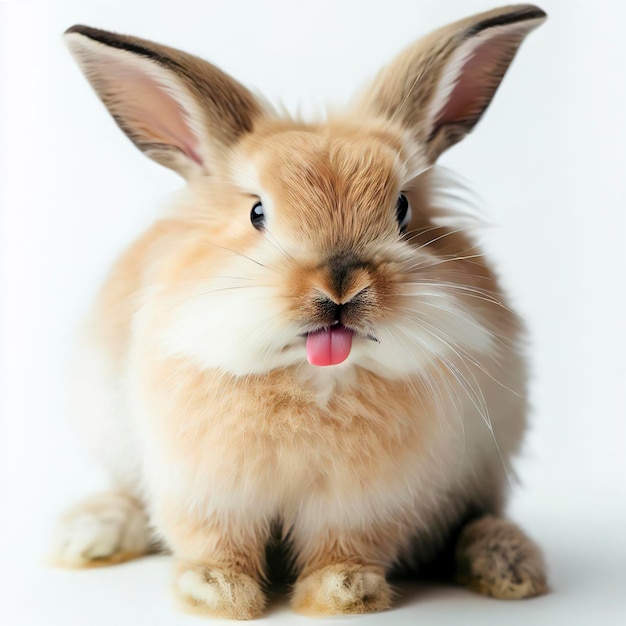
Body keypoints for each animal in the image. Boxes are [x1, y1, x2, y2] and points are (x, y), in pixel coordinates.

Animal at [52, 3, 544, 620]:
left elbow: (345, 546)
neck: (312, 380)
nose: (340, 288)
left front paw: (343, 592)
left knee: (478, 517)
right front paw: (216, 592)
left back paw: (508, 565)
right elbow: (213, 541)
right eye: (258, 213)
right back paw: (87, 535)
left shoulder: (365, 503)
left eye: (403, 209)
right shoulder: (206, 490)